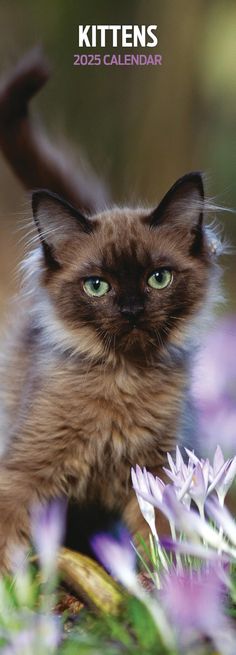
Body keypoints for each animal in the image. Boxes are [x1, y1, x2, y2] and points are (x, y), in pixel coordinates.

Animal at [0, 173, 219, 568]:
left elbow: (161, 537)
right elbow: (6, 533)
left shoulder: (156, 470)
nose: (131, 311)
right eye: (97, 286)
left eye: (158, 278)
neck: (123, 379)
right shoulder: (26, 468)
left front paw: (161, 581)